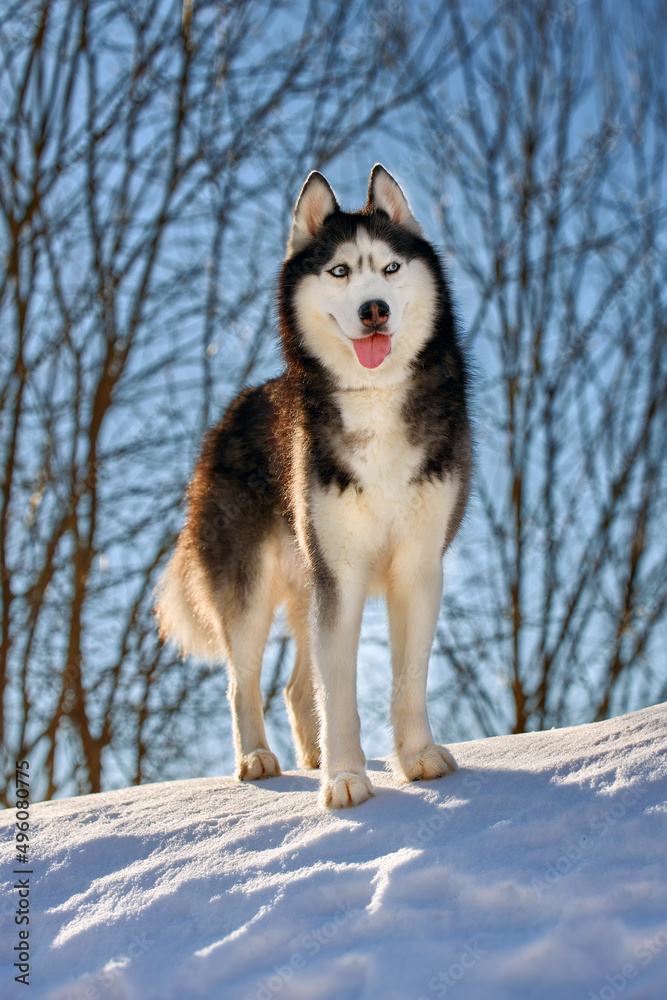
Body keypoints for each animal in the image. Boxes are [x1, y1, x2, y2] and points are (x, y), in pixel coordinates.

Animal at [156, 164, 470, 804]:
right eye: (340, 271)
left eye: (391, 268)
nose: (374, 310)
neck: (374, 400)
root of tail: (227, 417)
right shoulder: (340, 575)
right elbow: (341, 688)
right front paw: (346, 778)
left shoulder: (418, 565)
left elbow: (408, 677)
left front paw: (417, 757)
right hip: (252, 590)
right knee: (244, 681)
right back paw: (257, 758)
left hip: (307, 587)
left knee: (298, 686)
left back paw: (313, 755)